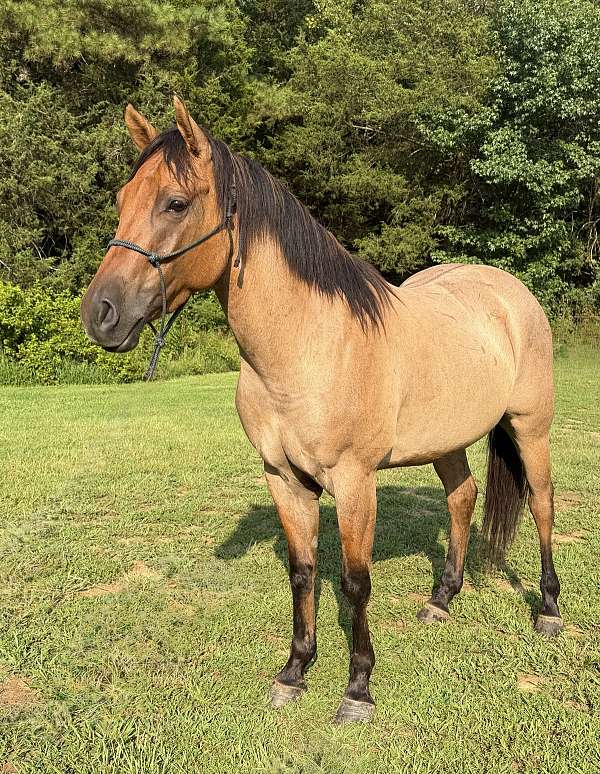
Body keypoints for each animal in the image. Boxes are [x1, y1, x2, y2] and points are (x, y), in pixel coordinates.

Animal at [81, 97, 563, 724]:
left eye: (175, 203)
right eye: (121, 201)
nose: (100, 313)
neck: (308, 347)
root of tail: (510, 291)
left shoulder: (356, 482)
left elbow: (356, 583)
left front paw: (357, 689)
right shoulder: (284, 478)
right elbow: (303, 570)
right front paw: (294, 671)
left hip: (532, 429)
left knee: (543, 504)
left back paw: (548, 609)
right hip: (448, 440)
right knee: (462, 498)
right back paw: (441, 600)